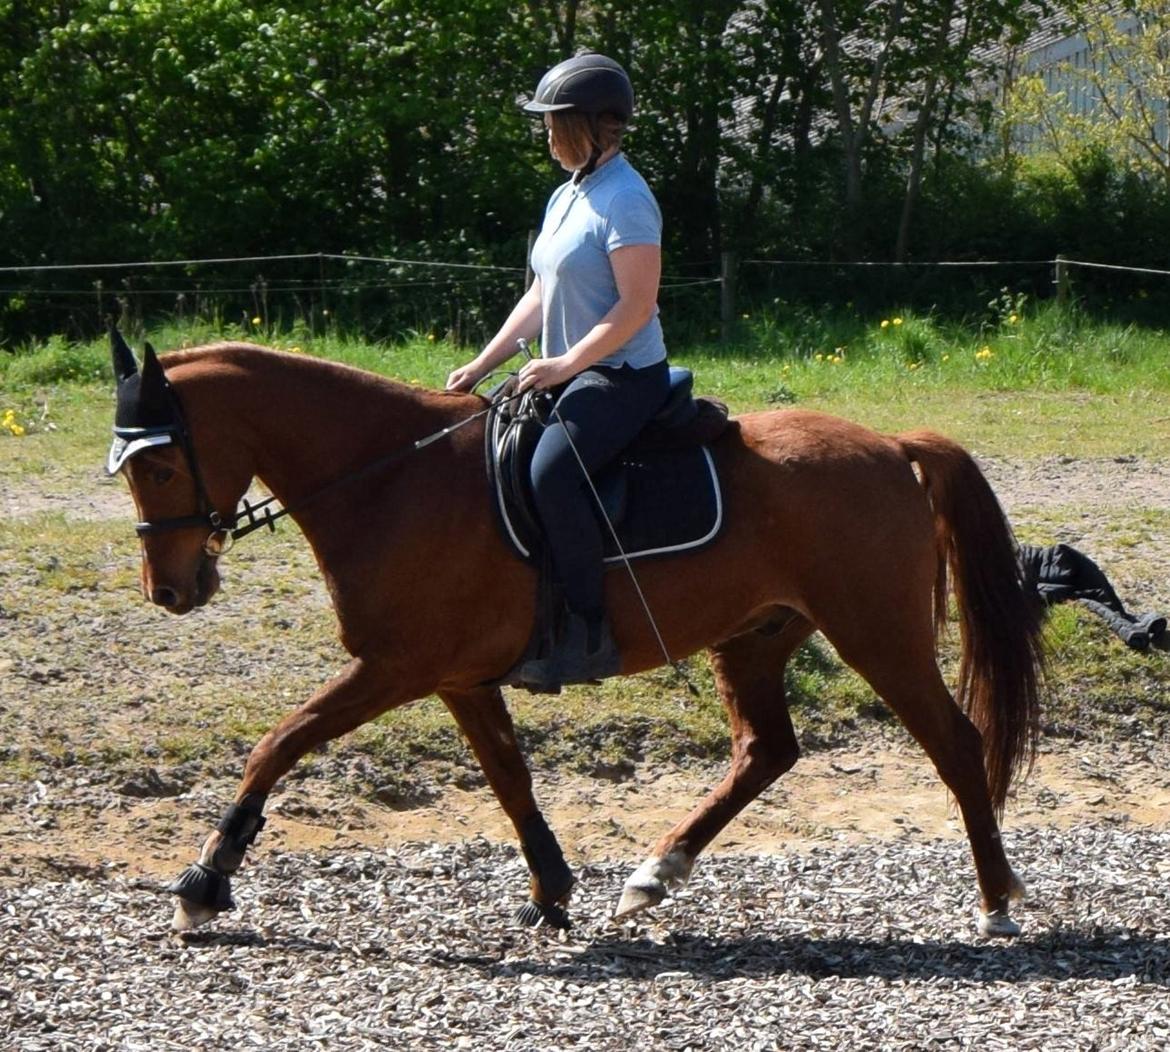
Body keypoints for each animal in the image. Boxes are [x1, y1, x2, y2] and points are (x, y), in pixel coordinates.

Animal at [107, 334, 1043, 936]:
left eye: (161, 464)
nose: (169, 590)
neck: (391, 480)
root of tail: (889, 444)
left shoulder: (394, 668)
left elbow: (279, 743)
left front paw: (205, 880)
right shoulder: (457, 677)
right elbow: (510, 779)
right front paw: (552, 888)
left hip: (877, 636)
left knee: (955, 745)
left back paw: (996, 899)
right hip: (754, 637)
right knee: (765, 752)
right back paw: (655, 875)